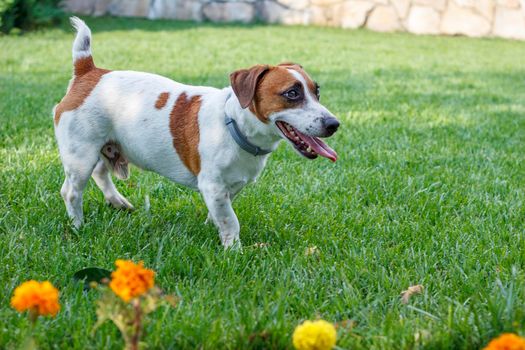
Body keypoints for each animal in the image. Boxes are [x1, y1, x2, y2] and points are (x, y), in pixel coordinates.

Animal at [54, 17, 340, 247]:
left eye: (317, 91)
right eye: (292, 94)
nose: (334, 124)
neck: (234, 125)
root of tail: (89, 72)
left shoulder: (229, 188)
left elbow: (220, 214)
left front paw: (213, 228)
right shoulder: (213, 186)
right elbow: (231, 221)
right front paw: (233, 249)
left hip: (106, 146)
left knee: (101, 172)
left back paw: (116, 201)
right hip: (81, 156)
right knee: (72, 191)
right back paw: (78, 226)